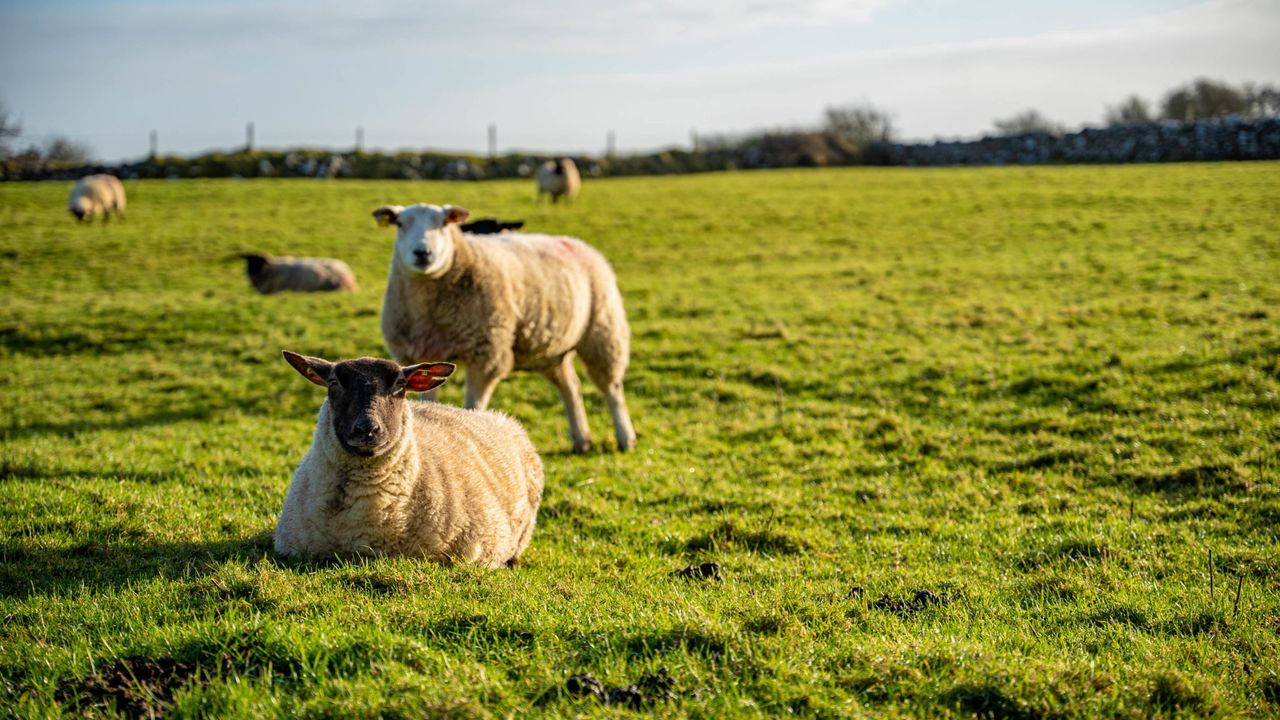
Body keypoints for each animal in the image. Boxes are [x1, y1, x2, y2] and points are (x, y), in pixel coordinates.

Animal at [372, 202, 636, 453]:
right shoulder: (421, 355)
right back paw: (581, 440)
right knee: (570, 387)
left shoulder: (486, 354)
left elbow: (473, 407)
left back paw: (625, 438)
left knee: (611, 388)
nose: (423, 253)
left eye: (444, 223)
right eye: (400, 223)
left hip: (603, 330)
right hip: (549, 351)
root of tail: (576, 242)